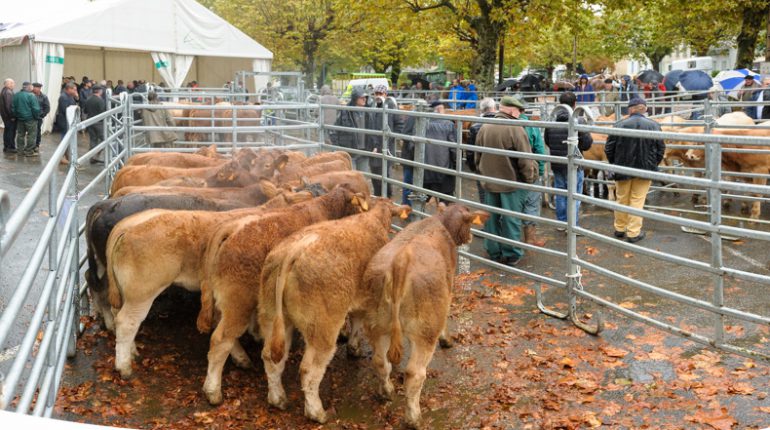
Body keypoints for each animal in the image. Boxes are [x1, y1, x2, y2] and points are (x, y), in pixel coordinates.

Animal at [106, 191, 314, 376]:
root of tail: (126, 226)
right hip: (142, 292)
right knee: (127, 321)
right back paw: (124, 367)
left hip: (125, 291)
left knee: (117, 313)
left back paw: (131, 351)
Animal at [258, 198, 412, 424]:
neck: (374, 219)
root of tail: (292, 251)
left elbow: (355, 321)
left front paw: (353, 347)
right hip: (323, 328)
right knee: (309, 371)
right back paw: (317, 412)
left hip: (272, 317)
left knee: (270, 357)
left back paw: (278, 399)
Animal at [358, 204, 486, 426]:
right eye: (469, 222)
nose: (471, 237)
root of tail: (400, 261)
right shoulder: (448, 288)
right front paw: (447, 340)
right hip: (425, 331)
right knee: (414, 374)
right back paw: (414, 418)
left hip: (375, 324)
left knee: (380, 360)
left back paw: (386, 392)